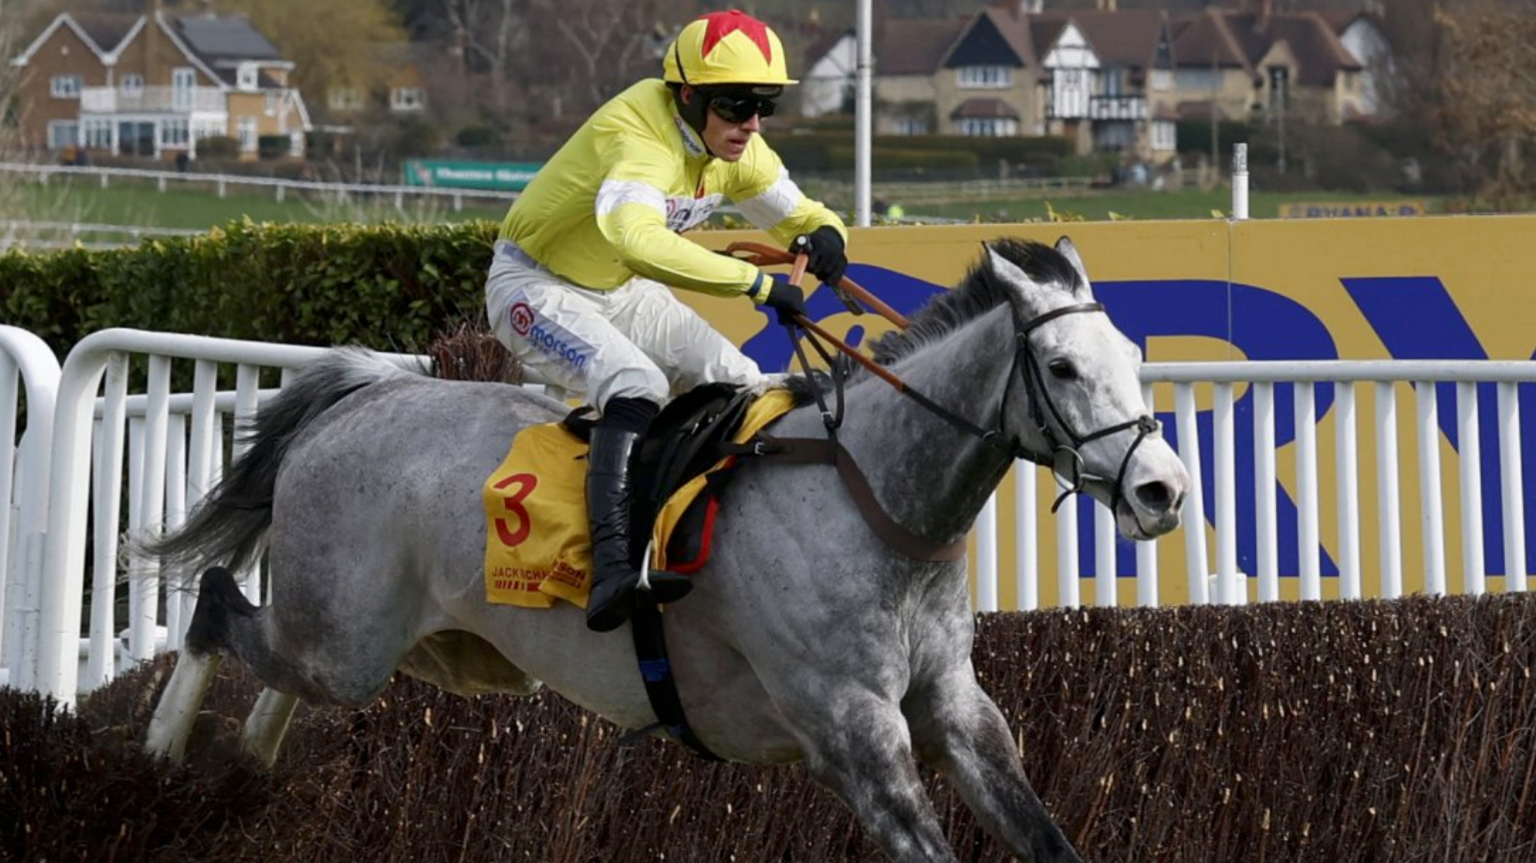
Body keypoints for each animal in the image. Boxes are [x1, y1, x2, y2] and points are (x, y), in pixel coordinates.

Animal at [141, 234, 1185, 859]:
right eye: (1062, 366)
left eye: (1134, 357)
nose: (1162, 489)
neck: (869, 496)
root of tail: (366, 392)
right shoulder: (855, 734)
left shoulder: (958, 709)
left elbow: (1043, 832)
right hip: (348, 639)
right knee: (217, 605)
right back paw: (157, 754)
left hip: (415, 649)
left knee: (272, 662)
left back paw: (249, 764)